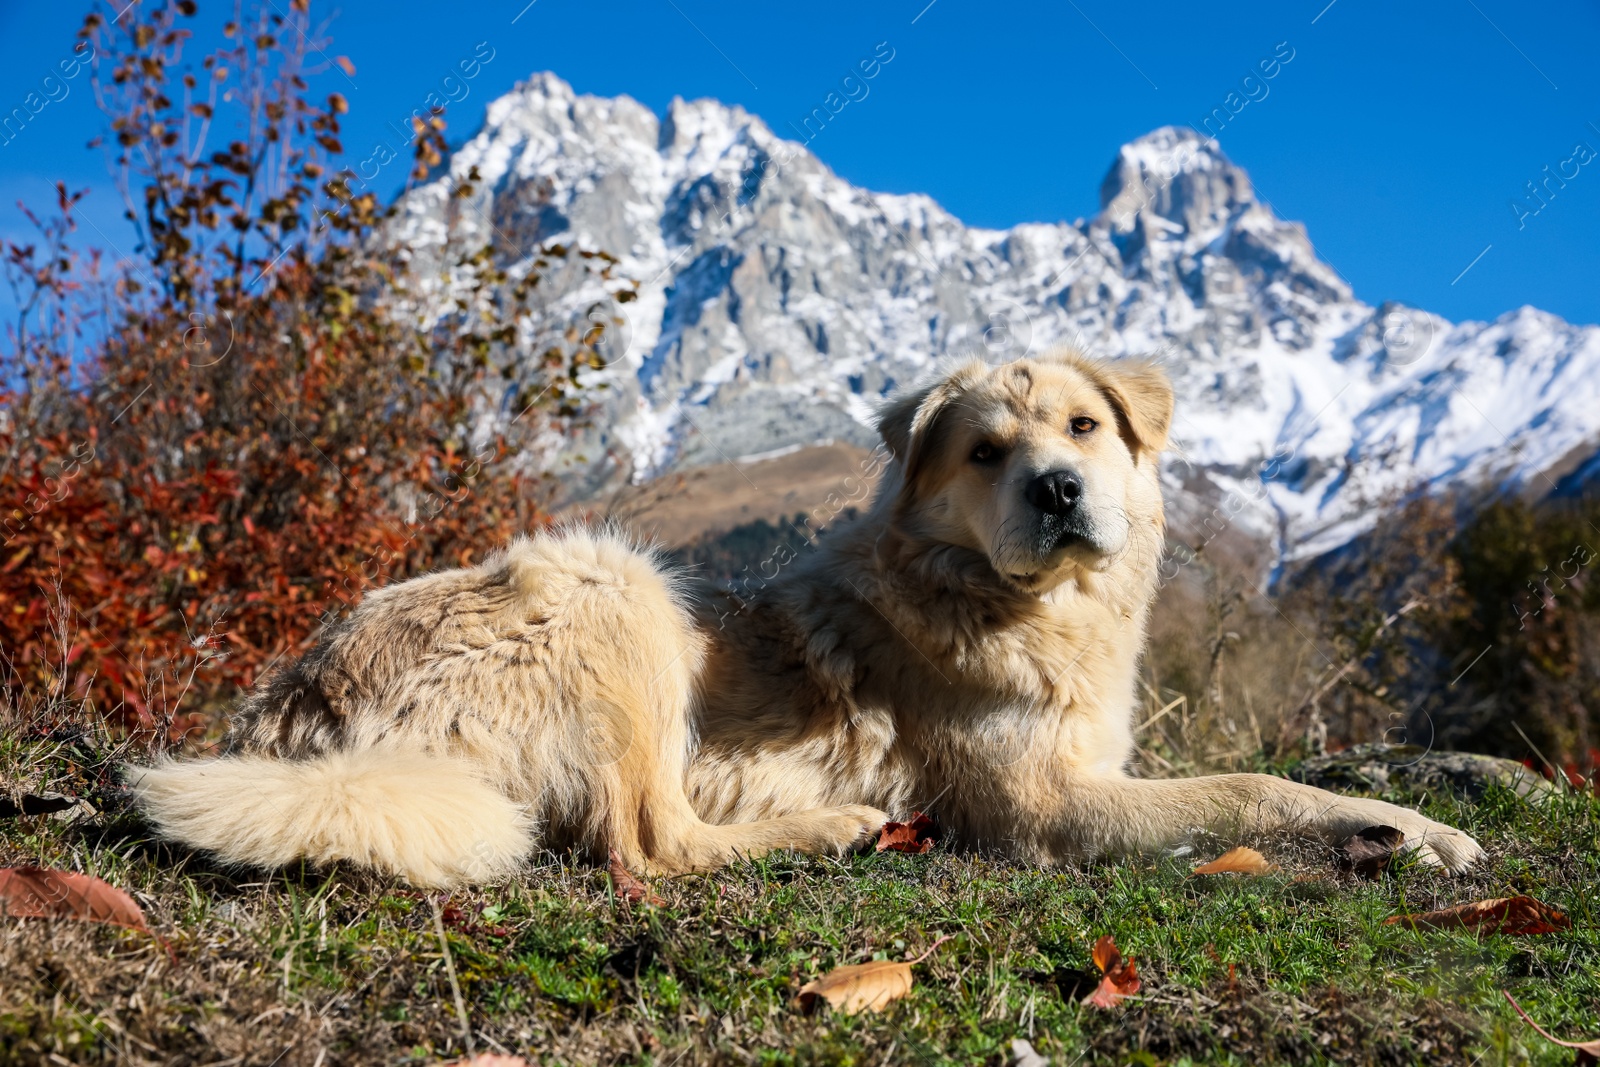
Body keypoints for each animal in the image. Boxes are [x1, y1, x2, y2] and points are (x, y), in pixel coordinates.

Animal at [128, 350, 1484, 883]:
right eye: (986, 451)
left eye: (1084, 427)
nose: (1057, 487)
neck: (1012, 602)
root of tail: (300, 716)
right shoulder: (1045, 806)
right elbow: (1254, 786)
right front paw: (1413, 826)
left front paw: (1396, 825)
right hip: (611, 585)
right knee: (649, 842)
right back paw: (836, 826)